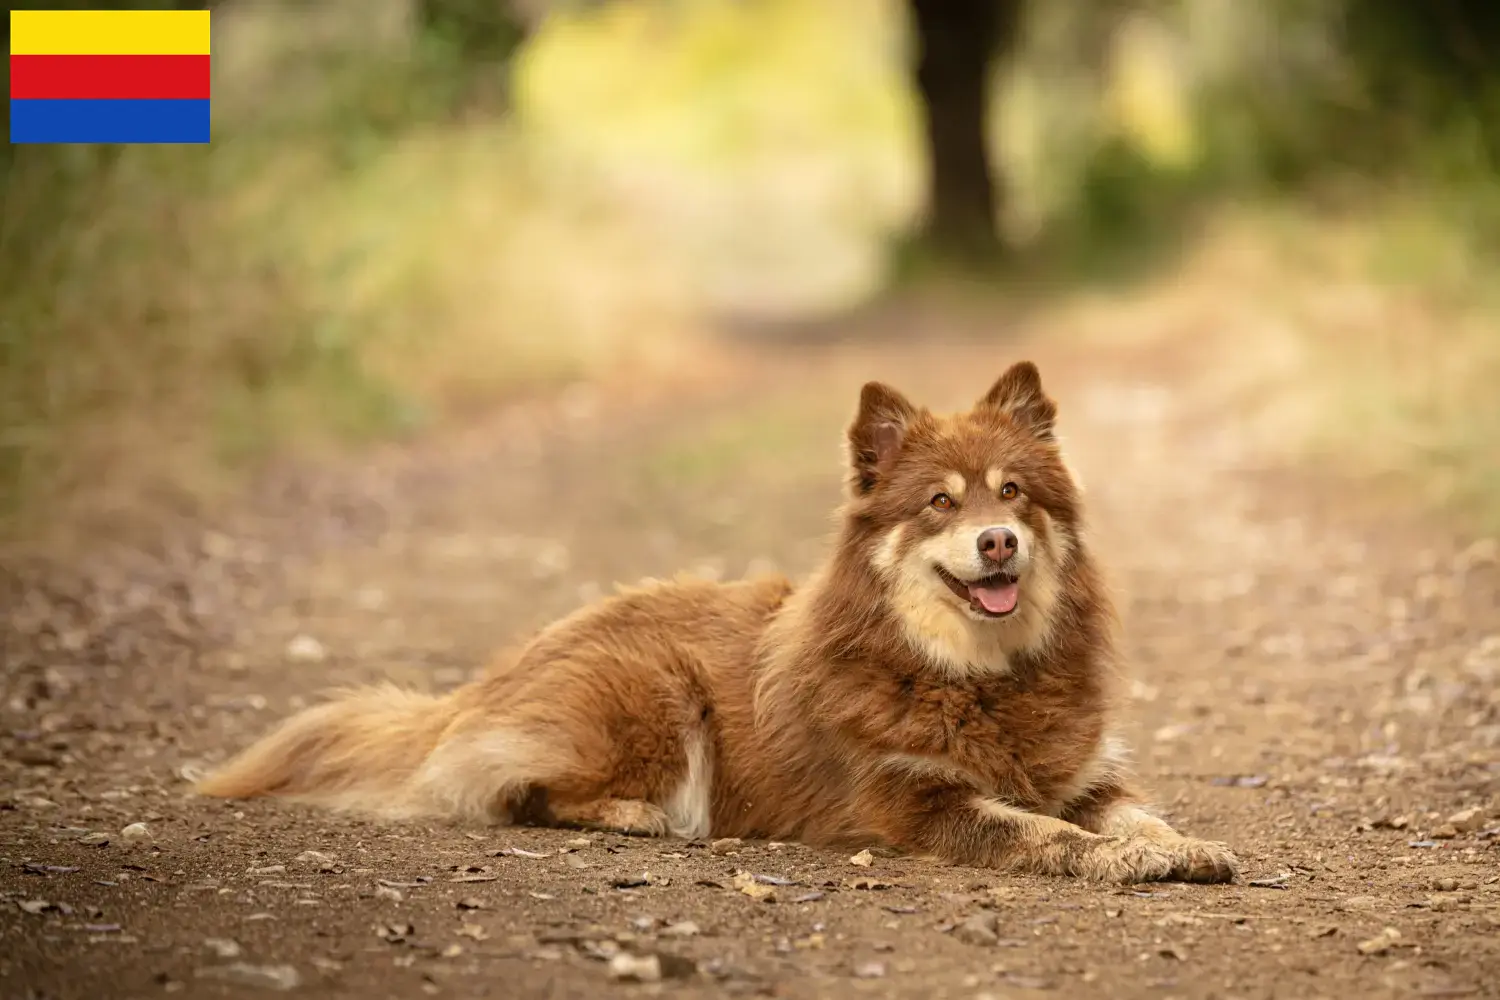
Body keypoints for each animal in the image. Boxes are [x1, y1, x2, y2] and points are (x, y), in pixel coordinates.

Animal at [199, 361, 1242, 881]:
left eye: (1014, 493)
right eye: (940, 503)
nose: (998, 543)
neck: (976, 673)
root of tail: (483, 684)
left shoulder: (1084, 772)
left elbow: (1137, 810)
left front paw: (1180, 844)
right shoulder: (916, 802)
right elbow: (1047, 833)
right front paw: (1124, 860)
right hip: (657, 693)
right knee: (513, 790)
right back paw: (639, 817)